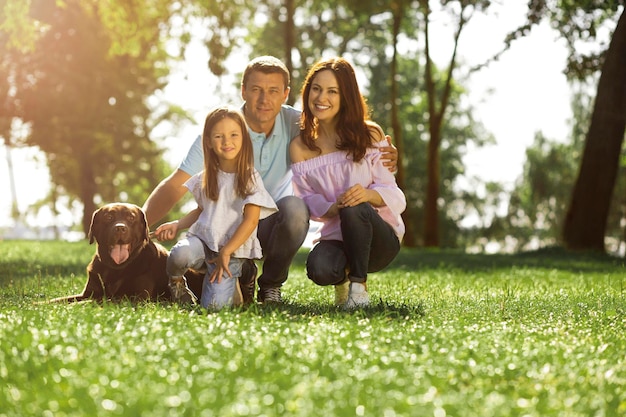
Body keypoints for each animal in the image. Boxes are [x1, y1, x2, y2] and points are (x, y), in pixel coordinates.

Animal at [48, 202, 200, 302]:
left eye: (131, 218)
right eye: (109, 217)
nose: (120, 228)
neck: (114, 267)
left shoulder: (135, 297)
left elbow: (92, 302)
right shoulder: (88, 293)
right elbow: (59, 300)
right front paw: (42, 303)